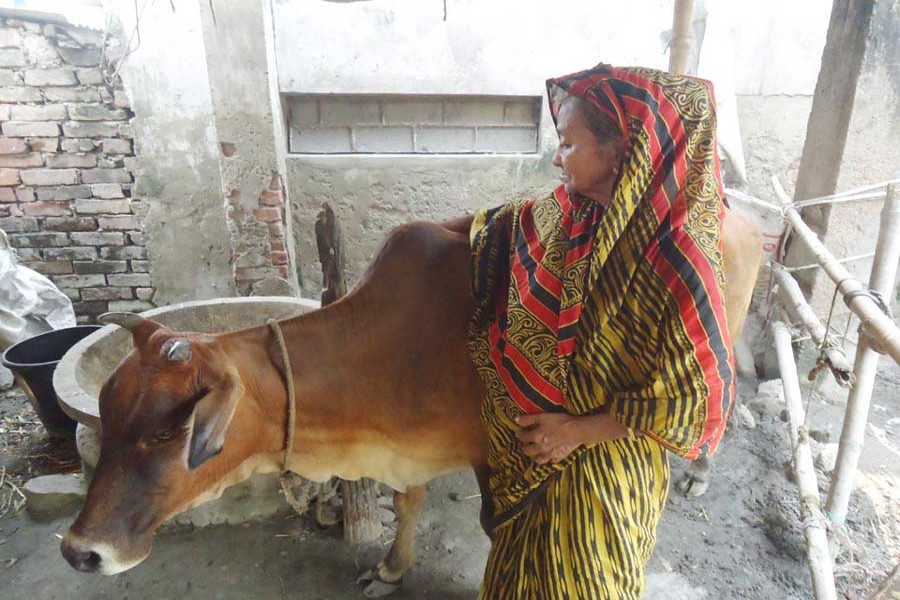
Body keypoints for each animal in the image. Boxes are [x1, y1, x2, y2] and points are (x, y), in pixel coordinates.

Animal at [58, 211, 760, 596]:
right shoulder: (405, 452)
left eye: (166, 432)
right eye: (109, 413)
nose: (79, 551)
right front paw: (393, 569)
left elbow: (495, 527)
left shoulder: (500, 452)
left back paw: (698, 473)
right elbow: (406, 504)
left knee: (710, 412)